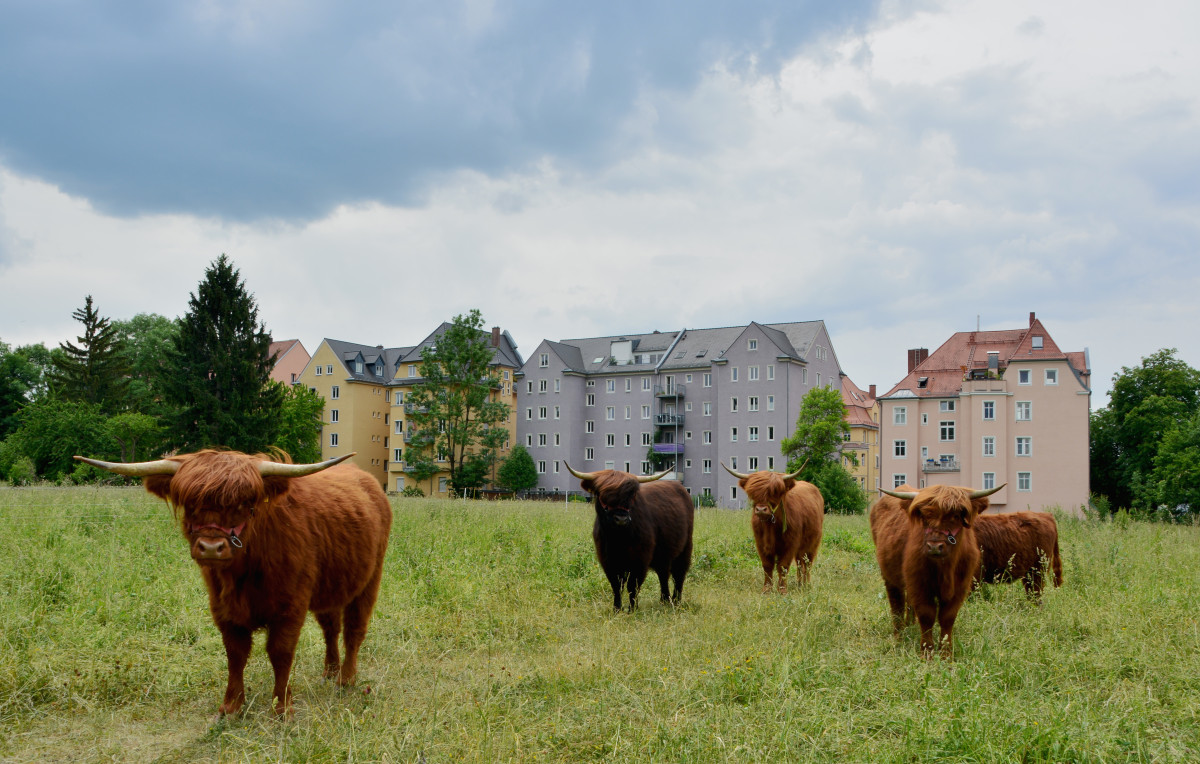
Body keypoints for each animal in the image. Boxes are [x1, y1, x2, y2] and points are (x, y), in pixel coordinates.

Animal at [75, 450, 391, 710]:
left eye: (243, 504)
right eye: (190, 504)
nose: (211, 547)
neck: (245, 572)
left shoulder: (291, 606)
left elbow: (281, 653)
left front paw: (282, 707)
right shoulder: (223, 607)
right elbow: (235, 654)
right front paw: (231, 707)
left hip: (369, 581)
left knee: (353, 630)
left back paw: (346, 679)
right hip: (332, 586)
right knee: (331, 628)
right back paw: (330, 671)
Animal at [568, 462, 700, 611]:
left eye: (630, 496)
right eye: (603, 496)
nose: (621, 518)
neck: (618, 538)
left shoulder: (640, 559)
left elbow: (633, 585)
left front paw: (632, 609)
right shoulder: (608, 561)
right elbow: (616, 586)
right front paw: (617, 609)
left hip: (685, 547)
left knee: (679, 573)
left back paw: (676, 601)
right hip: (664, 552)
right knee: (663, 574)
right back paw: (665, 600)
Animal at [720, 462, 825, 592]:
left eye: (774, 492)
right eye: (753, 493)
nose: (761, 509)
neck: (770, 527)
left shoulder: (790, 544)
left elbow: (783, 566)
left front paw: (782, 590)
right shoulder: (760, 543)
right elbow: (767, 565)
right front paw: (767, 589)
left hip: (812, 543)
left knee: (807, 563)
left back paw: (805, 585)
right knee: (800, 563)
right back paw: (799, 584)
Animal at [873, 482, 1003, 657]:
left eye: (955, 516)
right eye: (924, 517)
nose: (934, 546)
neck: (945, 568)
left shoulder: (960, 588)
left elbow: (947, 617)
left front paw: (946, 653)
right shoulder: (919, 584)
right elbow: (927, 615)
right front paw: (927, 652)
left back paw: (910, 624)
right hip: (890, 577)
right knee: (897, 606)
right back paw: (898, 637)